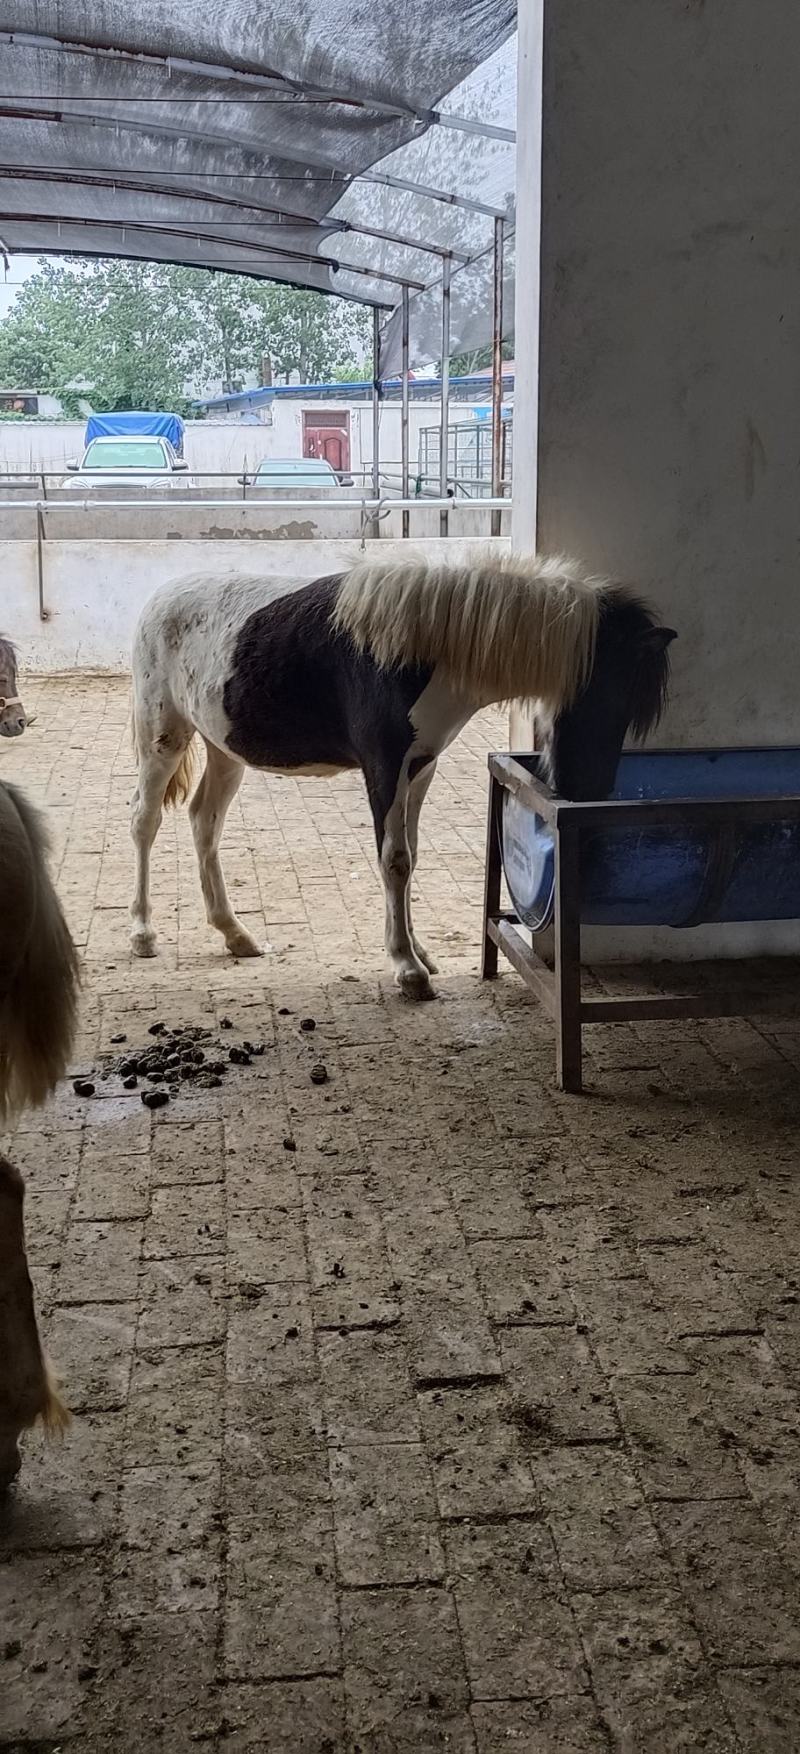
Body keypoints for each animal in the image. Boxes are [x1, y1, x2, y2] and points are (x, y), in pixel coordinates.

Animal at [129, 553, 676, 997]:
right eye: (613, 697)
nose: (589, 791)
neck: (421, 649)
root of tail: (158, 598)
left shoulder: (421, 766)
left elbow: (410, 854)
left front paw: (420, 954)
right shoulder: (385, 765)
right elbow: (394, 860)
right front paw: (408, 970)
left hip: (224, 750)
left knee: (204, 821)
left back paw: (235, 934)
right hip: (164, 737)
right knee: (144, 821)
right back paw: (142, 933)